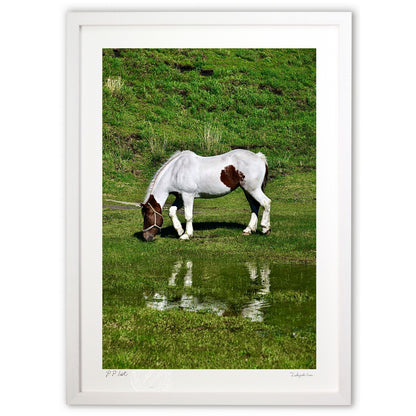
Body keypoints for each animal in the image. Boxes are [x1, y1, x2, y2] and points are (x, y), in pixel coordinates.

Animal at [141, 149, 272, 240]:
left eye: (147, 216)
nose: (146, 237)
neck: (176, 171)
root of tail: (259, 157)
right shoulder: (180, 197)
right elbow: (171, 212)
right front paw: (179, 231)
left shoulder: (188, 195)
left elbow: (188, 216)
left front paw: (187, 235)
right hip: (248, 190)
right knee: (255, 206)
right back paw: (249, 230)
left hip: (253, 189)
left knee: (266, 203)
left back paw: (265, 228)